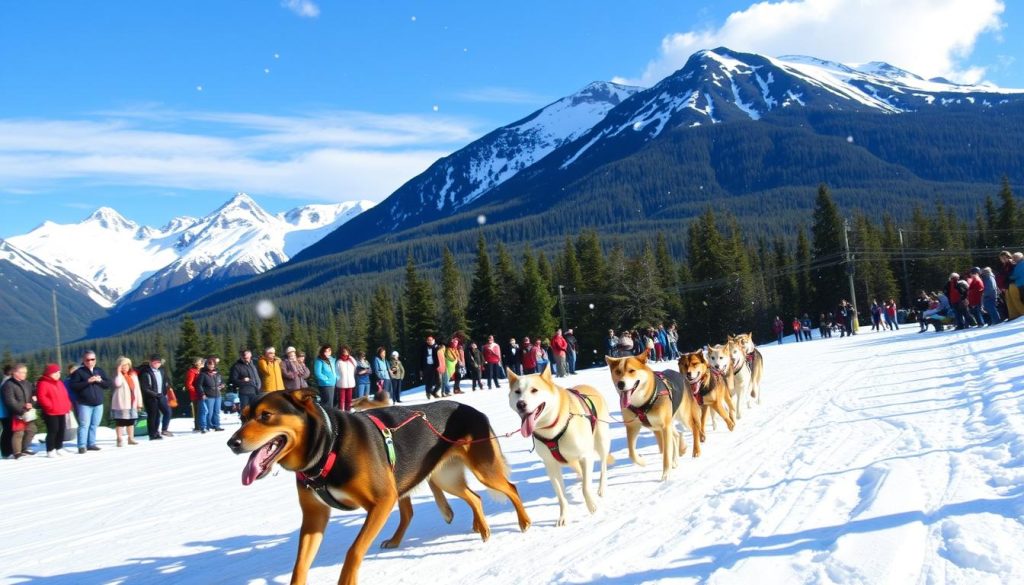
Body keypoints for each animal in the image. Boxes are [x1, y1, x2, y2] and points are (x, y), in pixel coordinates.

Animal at [224, 391, 528, 585]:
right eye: (242, 417)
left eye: (266, 416)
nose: (232, 443)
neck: (328, 446)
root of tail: (473, 409)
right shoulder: (314, 517)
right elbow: (300, 565)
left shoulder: (382, 501)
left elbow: (354, 551)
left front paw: (347, 580)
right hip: (445, 479)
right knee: (474, 497)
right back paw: (483, 529)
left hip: (484, 471)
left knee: (511, 488)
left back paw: (524, 522)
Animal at [507, 366, 610, 524]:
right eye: (517, 391)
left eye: (534, 390)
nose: (521, 404)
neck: (552, 428)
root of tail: (589, 387)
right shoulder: (551, 465)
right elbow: (561, 496)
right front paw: (563, 516)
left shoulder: (585, 456)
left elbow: (586, 487)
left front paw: (591, 506)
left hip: (601, 443)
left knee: (603, 467)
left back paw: (601, 488)